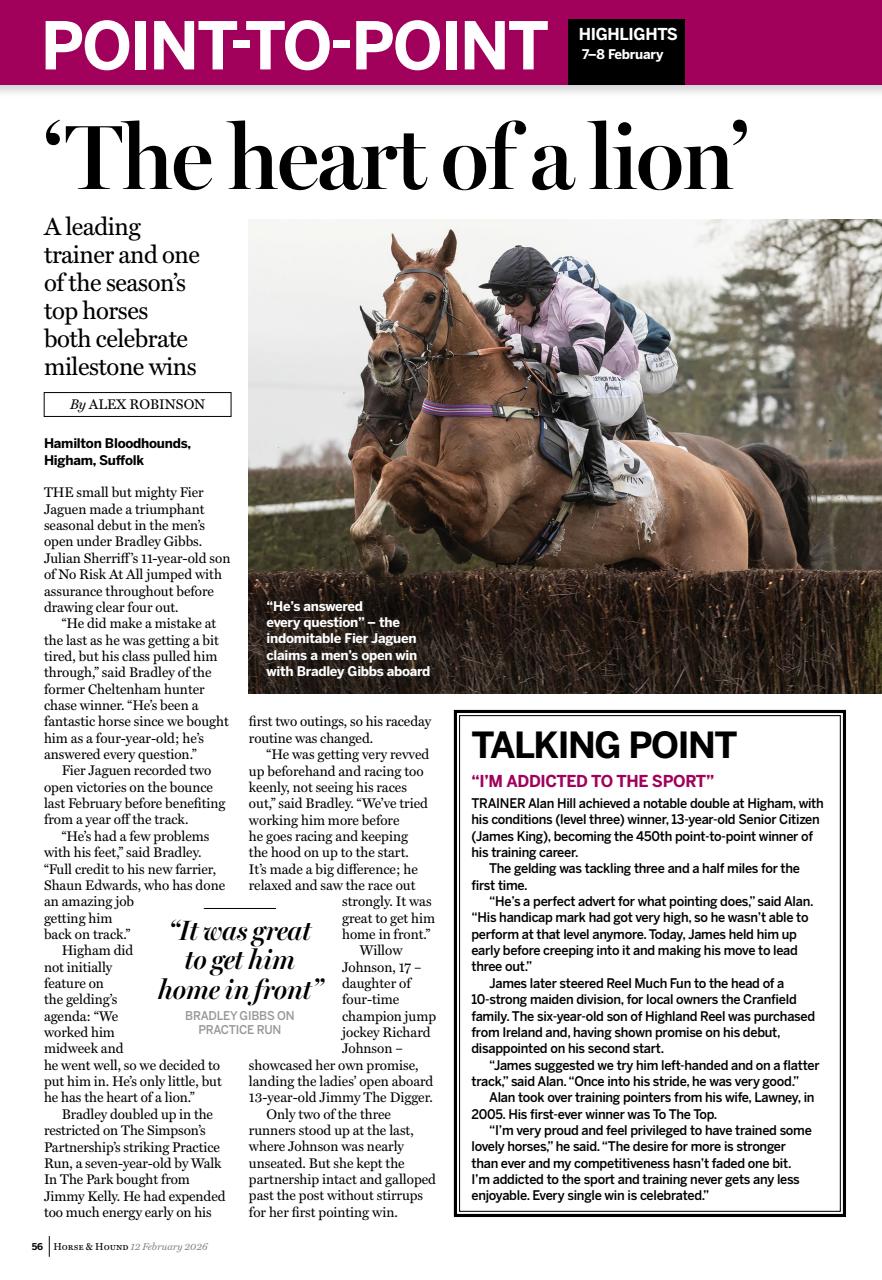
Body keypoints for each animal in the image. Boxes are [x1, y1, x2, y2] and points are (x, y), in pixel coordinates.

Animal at [350, 230, 763, 580]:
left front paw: (368, 536)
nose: (382, 357)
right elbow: (375, 462)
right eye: (388, 294)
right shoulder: (421, 512)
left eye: (429, 296)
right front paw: (381, 550)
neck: (474, 397)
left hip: (712, 563)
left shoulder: (480, 507)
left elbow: (400, 467)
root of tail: (722, 477)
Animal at [350, 305, 811, 570]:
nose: (357, 441)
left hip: (771, 558)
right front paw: (384, 547)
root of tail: (743, 465)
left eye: (394, 379)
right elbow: (389, 474)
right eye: (363, 375)